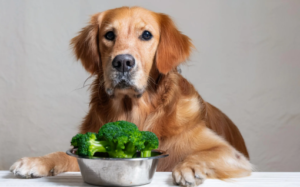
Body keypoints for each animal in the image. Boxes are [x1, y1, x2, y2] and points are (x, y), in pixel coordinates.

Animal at [10, 6, 252, 186]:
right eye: (109, 35)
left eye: (146, 35)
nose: (123, 62)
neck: (134, 114)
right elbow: (63, 154)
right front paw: (36, 161)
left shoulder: (234, 156)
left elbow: (199, 154)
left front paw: (189, 167)